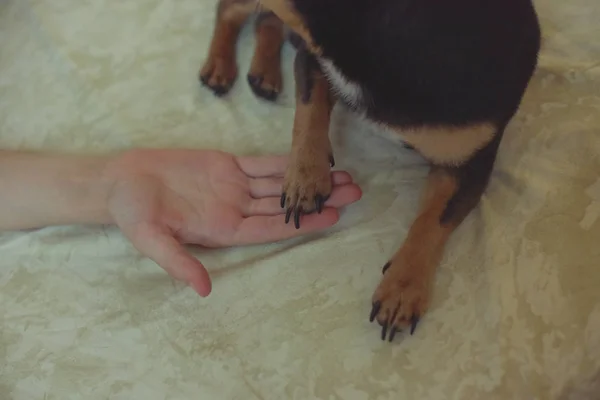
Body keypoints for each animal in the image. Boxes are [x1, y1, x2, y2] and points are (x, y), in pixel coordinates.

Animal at [199, 0, 540, 342]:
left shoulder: (469, 162)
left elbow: (432, 221)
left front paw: (403, 288)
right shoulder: (313, 60)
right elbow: (308, 114)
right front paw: (305, 178)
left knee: (264, 19)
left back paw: (264, 72)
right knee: (230, 10)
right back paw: (219, 66)